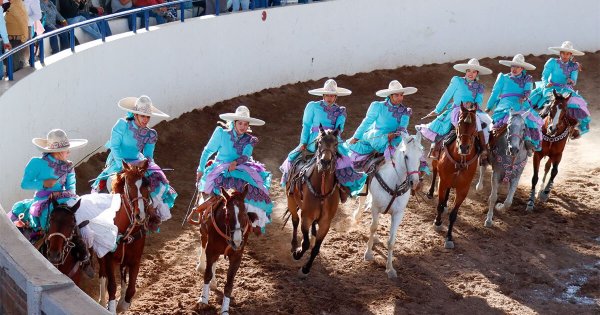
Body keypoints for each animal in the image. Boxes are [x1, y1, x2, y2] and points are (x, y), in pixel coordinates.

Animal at [95, 162, 159, 314]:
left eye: (147, 184)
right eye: (129, 185)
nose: (140, 215)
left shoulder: (135, 260)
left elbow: (131, 288)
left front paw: (122, 304)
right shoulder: (109, 258)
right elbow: (112, 285)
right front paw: (111, 307)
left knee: (123, 275)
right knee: (102, 274)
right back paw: (102, 301)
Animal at [195, 186, 255, 314]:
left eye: (245, 213)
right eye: (228, 214)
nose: (237, 241)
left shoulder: (237, 256)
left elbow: (229, 285)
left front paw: (225, 310)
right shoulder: (211, 249)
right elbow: (207, 274)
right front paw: (203, 300)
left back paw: (213, 283)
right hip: (203, 230)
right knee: (203, 243)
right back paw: (201, 266)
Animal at [286, 126, 342, 278]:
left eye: (336, 144)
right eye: (319, 142)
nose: (325, 162)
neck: (322, 192)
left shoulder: (325, 223)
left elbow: (316, 248)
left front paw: (306, 269)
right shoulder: (306, 217)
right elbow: (305, 243)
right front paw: (297, 253)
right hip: (291, 200)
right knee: (295, 221)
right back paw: (294, 244)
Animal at [350, 133, 424, 278]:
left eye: (420, 156)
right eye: (406, 156)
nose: (414, 182)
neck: (394, 183)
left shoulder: (398, 214)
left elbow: (391, 241)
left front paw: (390, 269)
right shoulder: (375, 208)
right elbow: (373, 227)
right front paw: (368, 254)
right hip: (364, 188)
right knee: (362, 204)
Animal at [432, 103, 482, 249]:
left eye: (475, 125)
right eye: (459, 123)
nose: (464, 147)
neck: (460, 161)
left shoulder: (463, 190)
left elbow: (453, 214)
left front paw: (449, 237)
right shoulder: (442, 183)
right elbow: (439, 204)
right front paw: (437, 222)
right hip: (435, 163)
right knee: (434, 172)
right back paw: (430, 192)